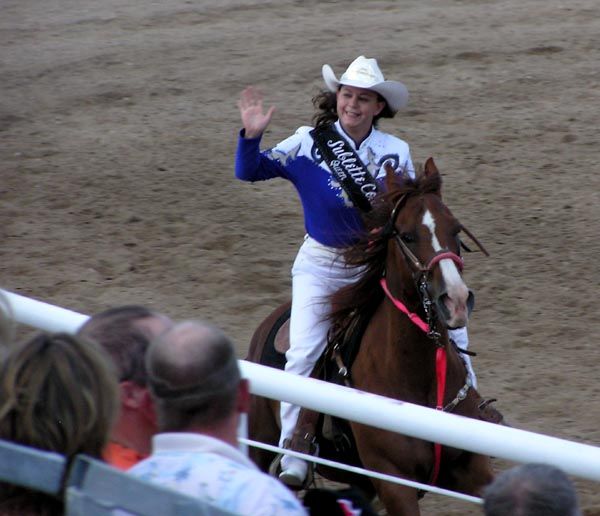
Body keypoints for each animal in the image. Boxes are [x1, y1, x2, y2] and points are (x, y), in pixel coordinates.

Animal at [246, 159, 494, 512]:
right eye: (407, 235)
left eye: (456, 230)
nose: (456, 299)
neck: (419, 379)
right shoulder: (394, 483)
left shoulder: (474, 470)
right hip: (260, 440)